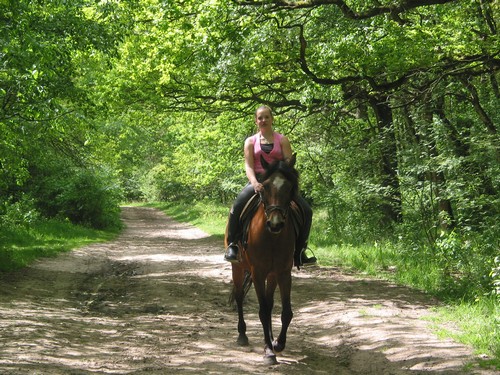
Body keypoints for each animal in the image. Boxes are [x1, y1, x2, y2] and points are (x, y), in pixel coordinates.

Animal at [228, 154, 300, 366]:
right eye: (265, 187)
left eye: (289, 187)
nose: (275, 224)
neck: (271, 237)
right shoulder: (258, 273)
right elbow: (262, 311)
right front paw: (268, 351)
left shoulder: (283, 272)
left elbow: (285, 312)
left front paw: (278, 343)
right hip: (238, 268)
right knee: (239, 296)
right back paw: (242, 335)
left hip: (272, 274)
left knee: (269, 303)